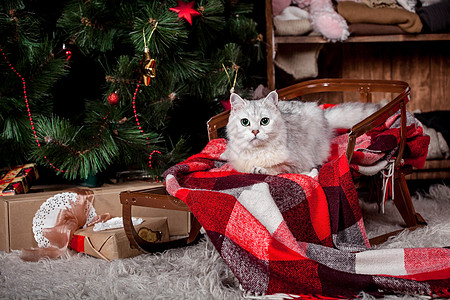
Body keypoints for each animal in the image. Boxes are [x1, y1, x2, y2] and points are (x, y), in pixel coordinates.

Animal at [223, 91, 382, 176]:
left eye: (265, 121)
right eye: (245, 122)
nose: (255, 131)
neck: (257, 151)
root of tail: (323, 114)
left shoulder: (297, 163)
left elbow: (278, 167)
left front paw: (261, 169)